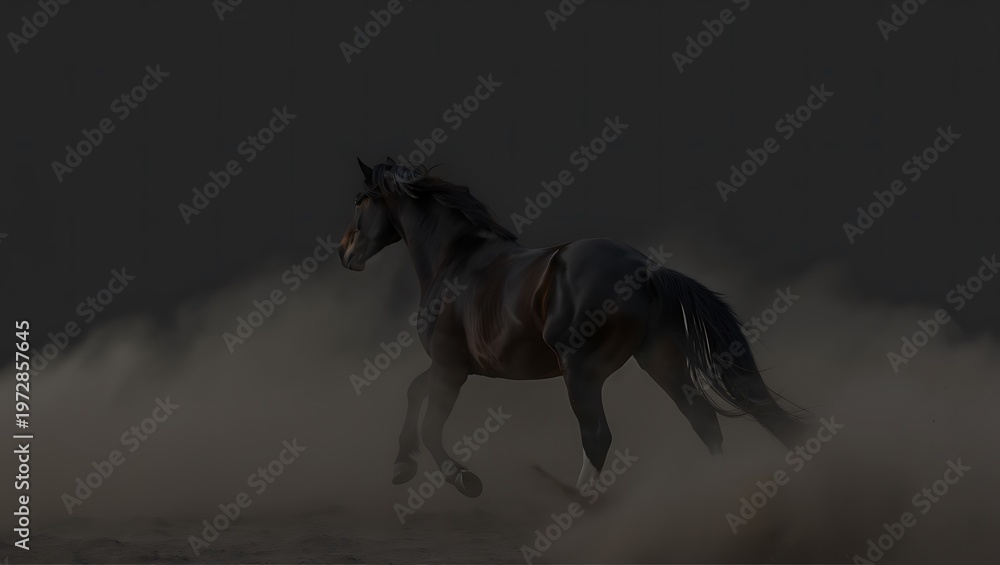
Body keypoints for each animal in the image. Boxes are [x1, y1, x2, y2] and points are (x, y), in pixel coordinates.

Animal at [339, 158, 811, 498]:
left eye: (360, 199)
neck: (457, 259)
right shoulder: (451, 368)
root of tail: (646, 269)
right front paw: (403, 464)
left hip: (582, 372)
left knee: (597, 436)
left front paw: (460, 478)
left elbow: (430, 422)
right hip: (661, 362)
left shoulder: (451, 368)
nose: (346, 253)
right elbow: (414, 393)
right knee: (704, 422)